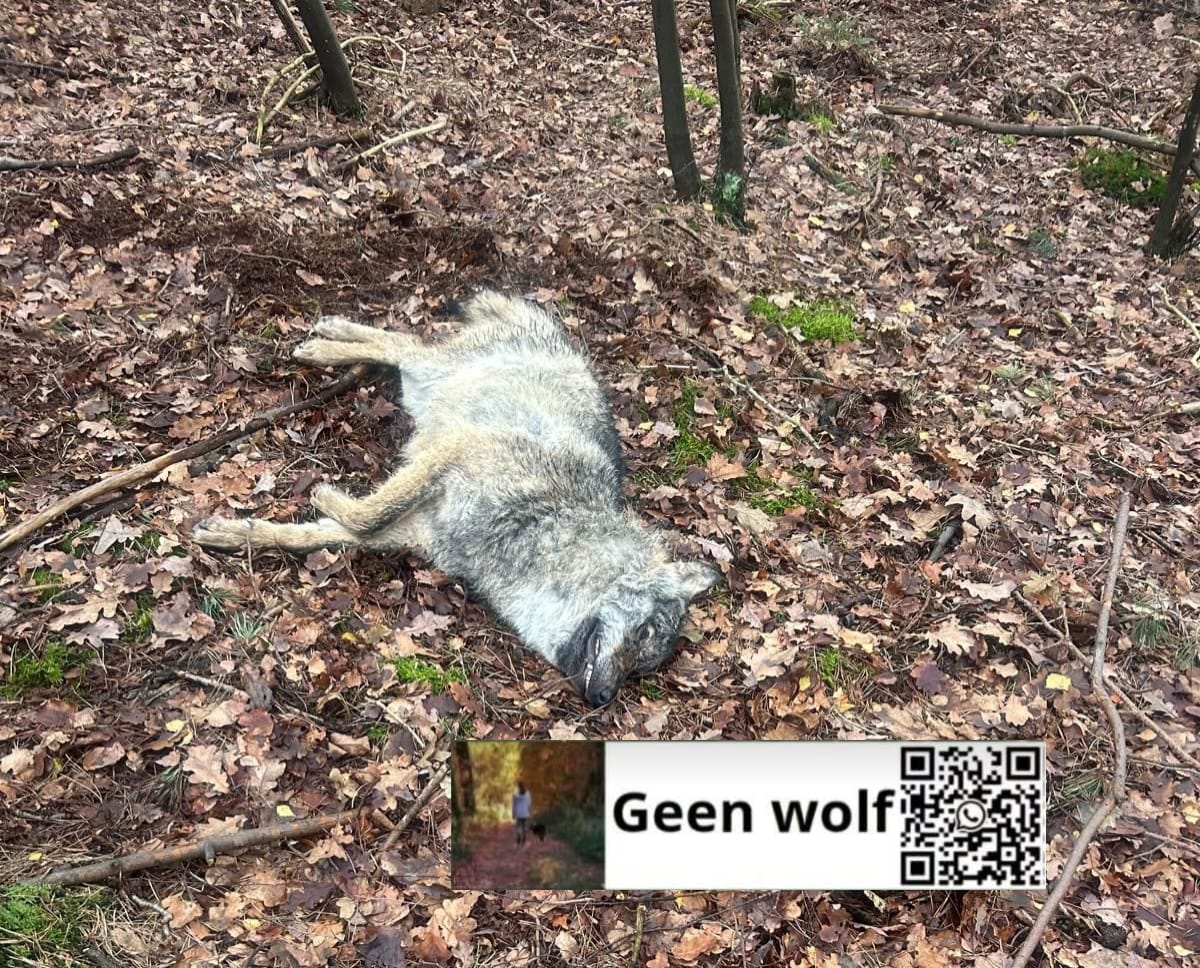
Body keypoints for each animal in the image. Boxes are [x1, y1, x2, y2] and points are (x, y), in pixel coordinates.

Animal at [192, 291, 719, 706]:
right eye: (644, 633)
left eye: (641, 671)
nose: (604, 699)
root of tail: (562, 339)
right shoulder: (460, 450)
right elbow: (368, 513)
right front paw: (324, 494)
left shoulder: (410, 532)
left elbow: (308, 536)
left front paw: (230, 533)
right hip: (435, 376)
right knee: (402, 341)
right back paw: (324, 342)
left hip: (420, 388)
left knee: (400, 345)